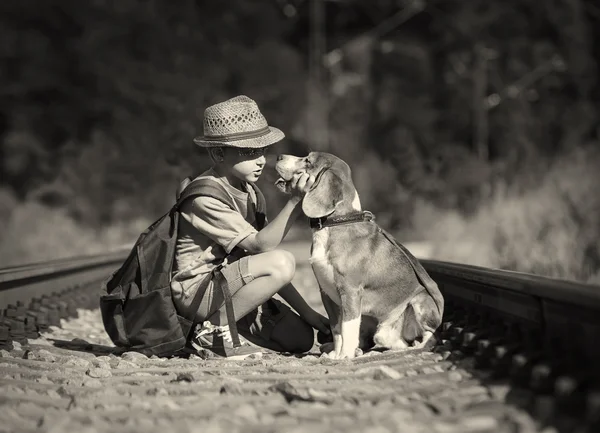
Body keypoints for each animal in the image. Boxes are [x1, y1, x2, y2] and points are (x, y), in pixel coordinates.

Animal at [274, 152, 442, 358]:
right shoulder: (327, 294)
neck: (336, 222)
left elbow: (348, 327)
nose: (279, 156)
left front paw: (344, 356)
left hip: (421, 301)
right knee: (383, 338)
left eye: (307, 160)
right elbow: (337, 329)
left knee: (430, 337)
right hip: (381, 326)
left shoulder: (350, 291)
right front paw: (336, 354)